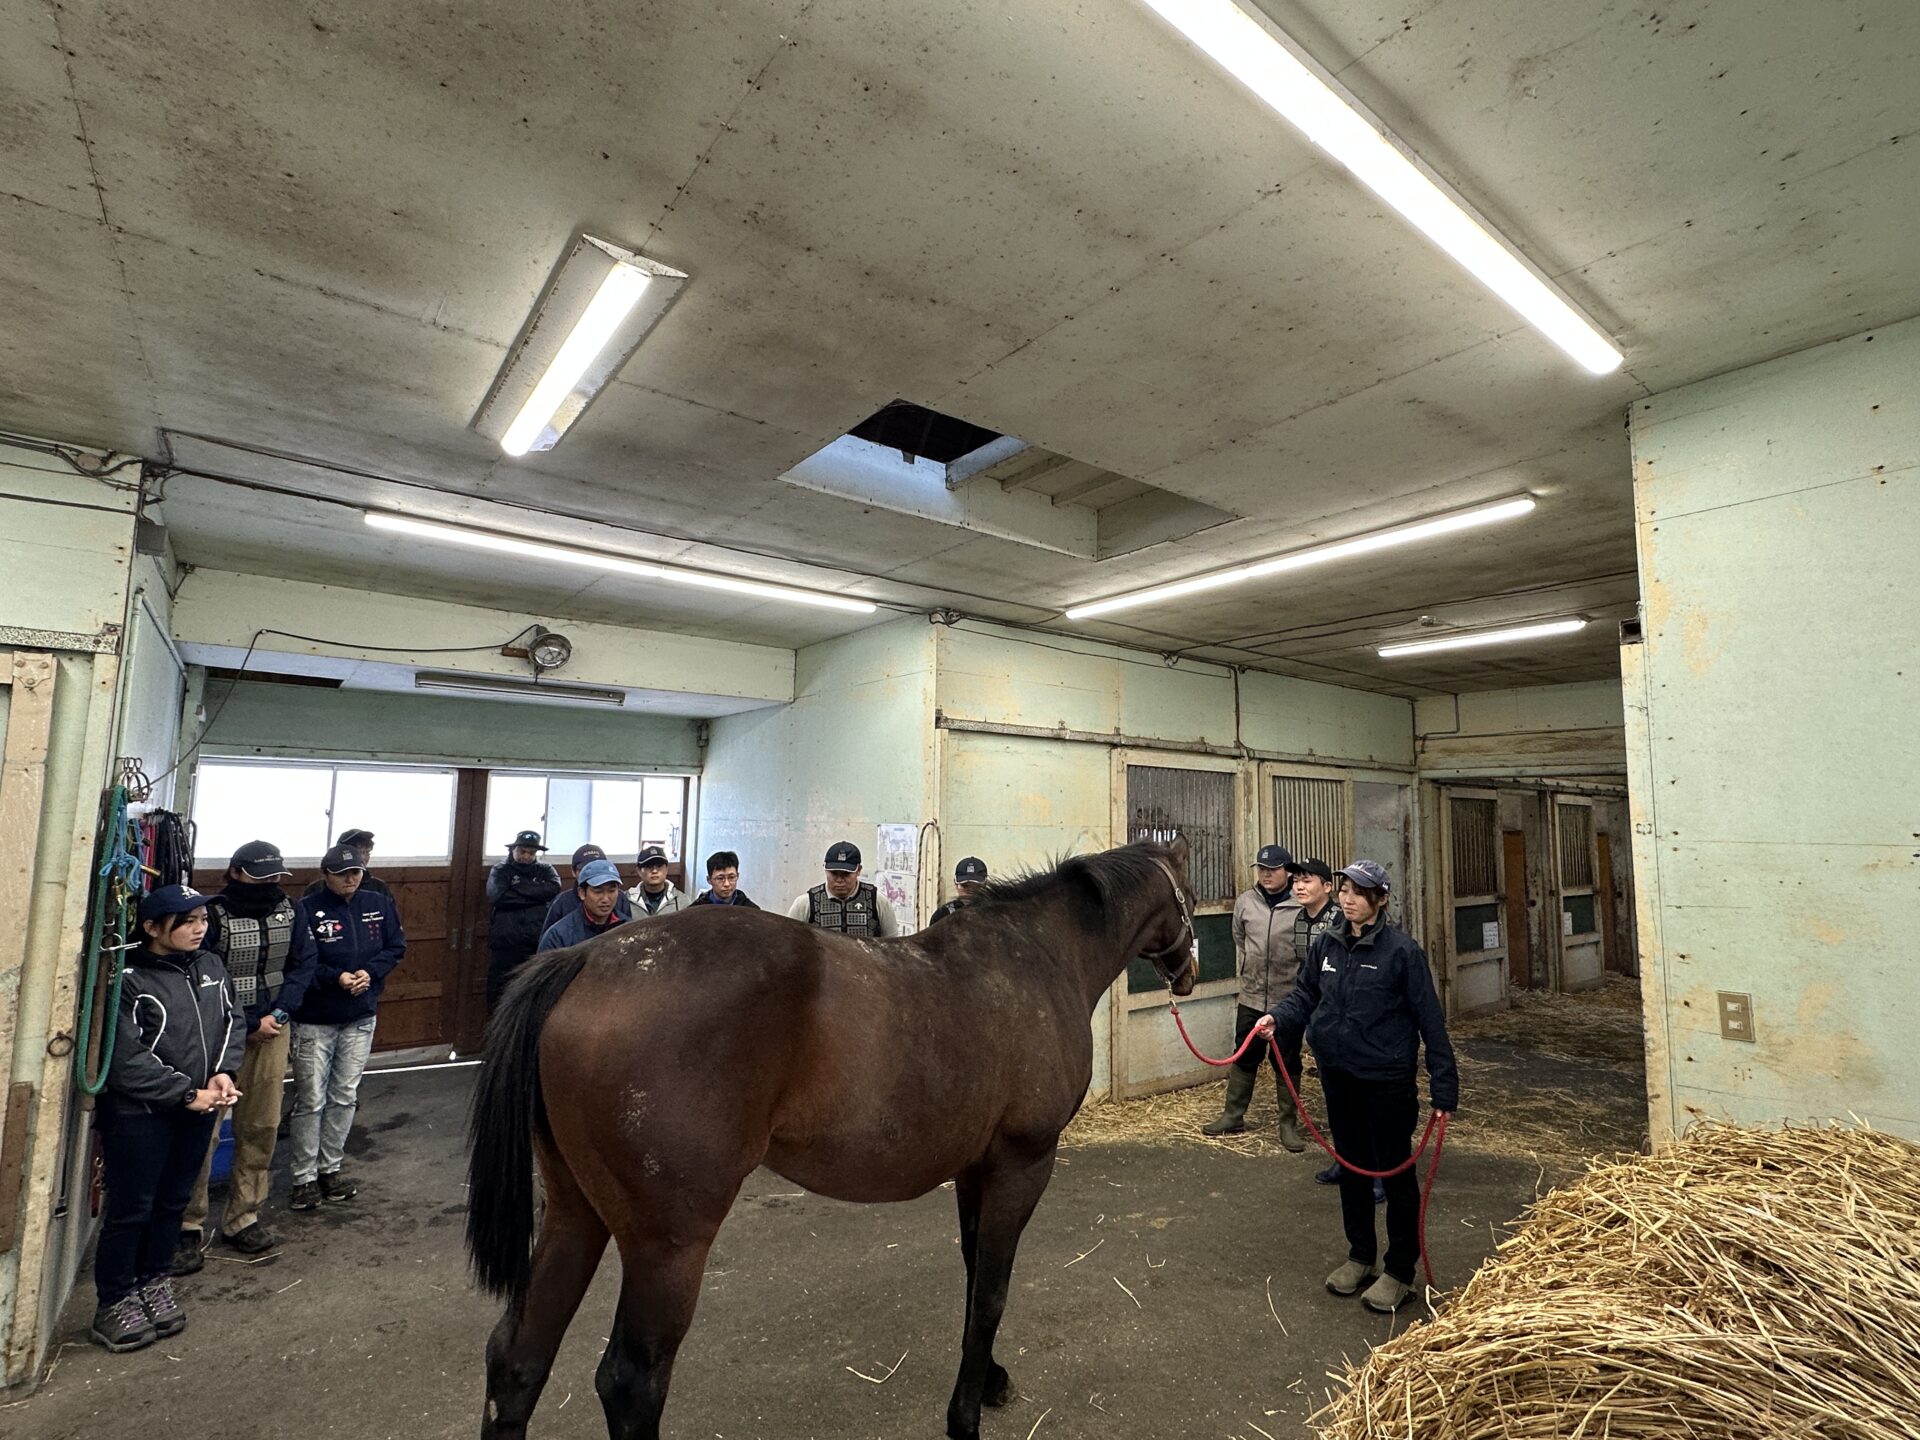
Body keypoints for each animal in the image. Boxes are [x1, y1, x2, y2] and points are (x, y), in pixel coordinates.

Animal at [462, 840, 1190, 1440]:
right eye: (1187, 888)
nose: (1187, 969)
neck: (1035, 958)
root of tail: (584, 957)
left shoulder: (976, 1168)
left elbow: (975, 1267)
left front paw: (988, 1380)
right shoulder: (1022, 1161)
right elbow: (991, 1290)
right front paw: (964, 1417)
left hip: (575, 1213)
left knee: (517, 1359)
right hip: (667, 1245)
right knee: (630, 1382)